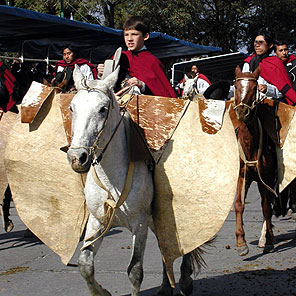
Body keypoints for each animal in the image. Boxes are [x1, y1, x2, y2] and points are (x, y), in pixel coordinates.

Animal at [67, 65, 201, 296]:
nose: (77, 157)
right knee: (165, 247)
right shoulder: (97, 220)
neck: (111, 178)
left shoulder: (139, 224)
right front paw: (102, 292)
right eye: (72, 108)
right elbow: (85, 265)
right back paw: (165, 287)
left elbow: (135, 271)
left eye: (102, 109)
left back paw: (185, 281)